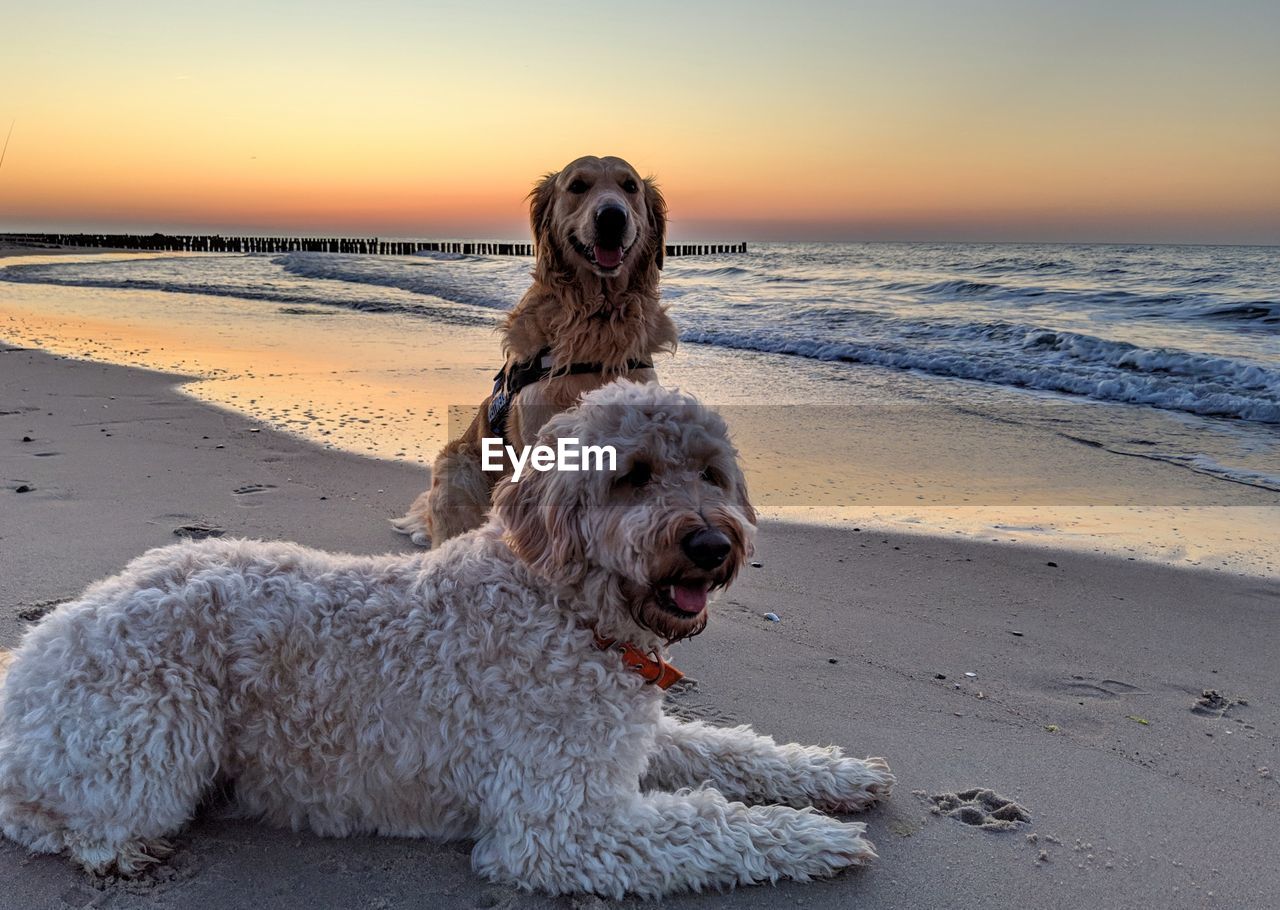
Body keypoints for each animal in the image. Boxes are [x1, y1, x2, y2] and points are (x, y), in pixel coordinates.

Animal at [0, 381, 896, 895]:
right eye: (632, 475)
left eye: (712, 474)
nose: (711, 544)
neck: (564, 604)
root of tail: (31, 653)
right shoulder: (562, 825)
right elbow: (712, 822)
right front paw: (818, 837)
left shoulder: (622, 739)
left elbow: (730, 751)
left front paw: (837, 776)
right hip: (159, 732)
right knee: (46, 813)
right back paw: (118, 852)